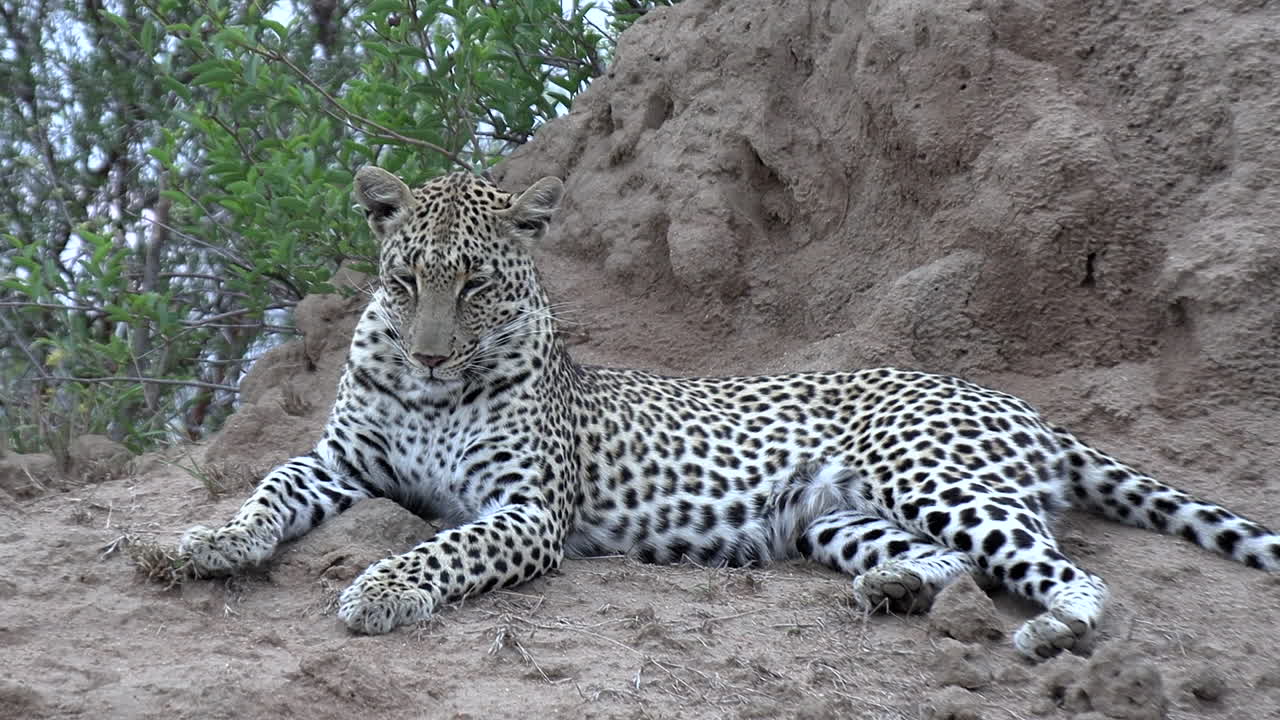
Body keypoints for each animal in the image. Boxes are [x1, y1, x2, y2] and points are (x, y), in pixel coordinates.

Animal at [179, 167, 1280, 661]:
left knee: (1069, 573)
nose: (430, 350)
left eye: (478, 287)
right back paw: (892, 591)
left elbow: (445, 546)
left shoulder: (526, 512)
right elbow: (269, 485)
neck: (430, 392)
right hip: (842, 515)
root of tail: (1023, 403)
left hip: (927, 471)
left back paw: (1052, 634)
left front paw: (382, 587)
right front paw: (207, 543)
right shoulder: (340, 461)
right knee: (950, 561)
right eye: (406, 281)